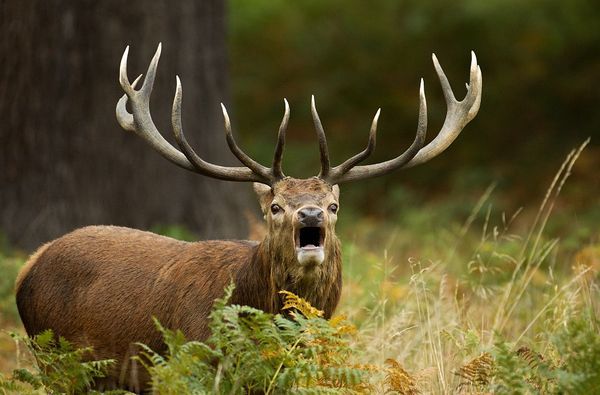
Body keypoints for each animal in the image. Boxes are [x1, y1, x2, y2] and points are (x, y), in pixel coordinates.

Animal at [15, 44, 482, 392]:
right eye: (275, 206)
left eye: (333, 207)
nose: (309, 212)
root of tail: (29, 264)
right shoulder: (194, 365)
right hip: (55, 361)